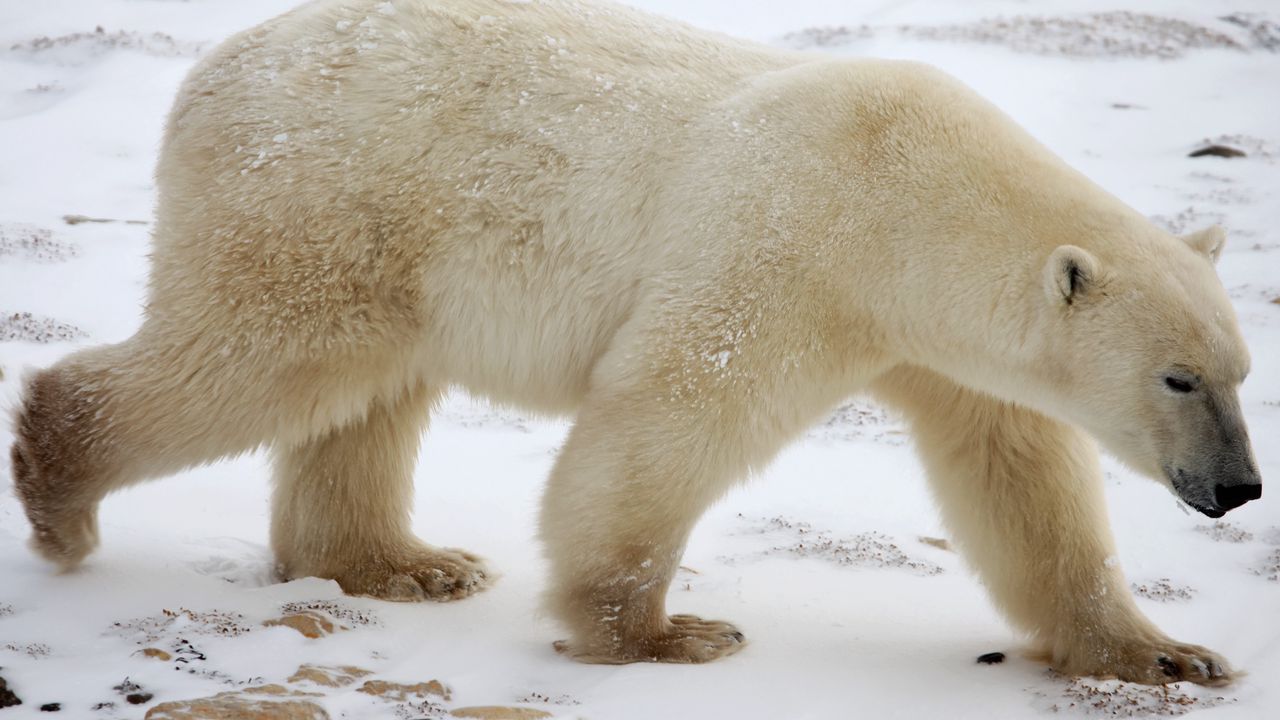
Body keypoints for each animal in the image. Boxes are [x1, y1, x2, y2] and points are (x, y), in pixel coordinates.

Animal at [7, 0, 1259, 681]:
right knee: (258, 359)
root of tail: (210, 71)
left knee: (362, 398)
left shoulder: (937, 341)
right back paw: (61, 494)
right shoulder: (788, 244)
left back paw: (405, 563)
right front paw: (665, 634)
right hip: (322, 199)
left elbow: (1021, 481)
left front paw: (1165, 654)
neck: (908, 195)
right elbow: (669, 411)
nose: (1238, 488)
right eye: (1175, 377)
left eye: (1241, 374)